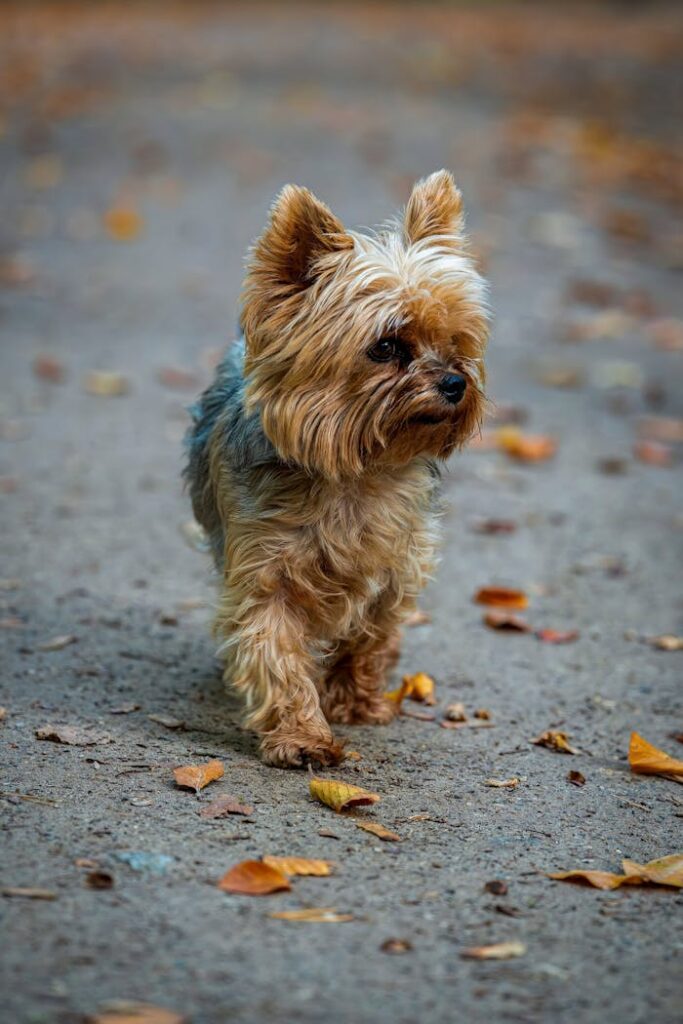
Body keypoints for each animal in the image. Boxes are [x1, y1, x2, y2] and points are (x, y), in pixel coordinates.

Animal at [184, 167, 489, 765]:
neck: (359, 473)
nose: (454, 382)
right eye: (387, 346)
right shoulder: (265, 576)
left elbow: (370, 638)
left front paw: (356, 702)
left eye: (454, 340)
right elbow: (276, 655)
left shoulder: (398, 569)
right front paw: (303, 735)